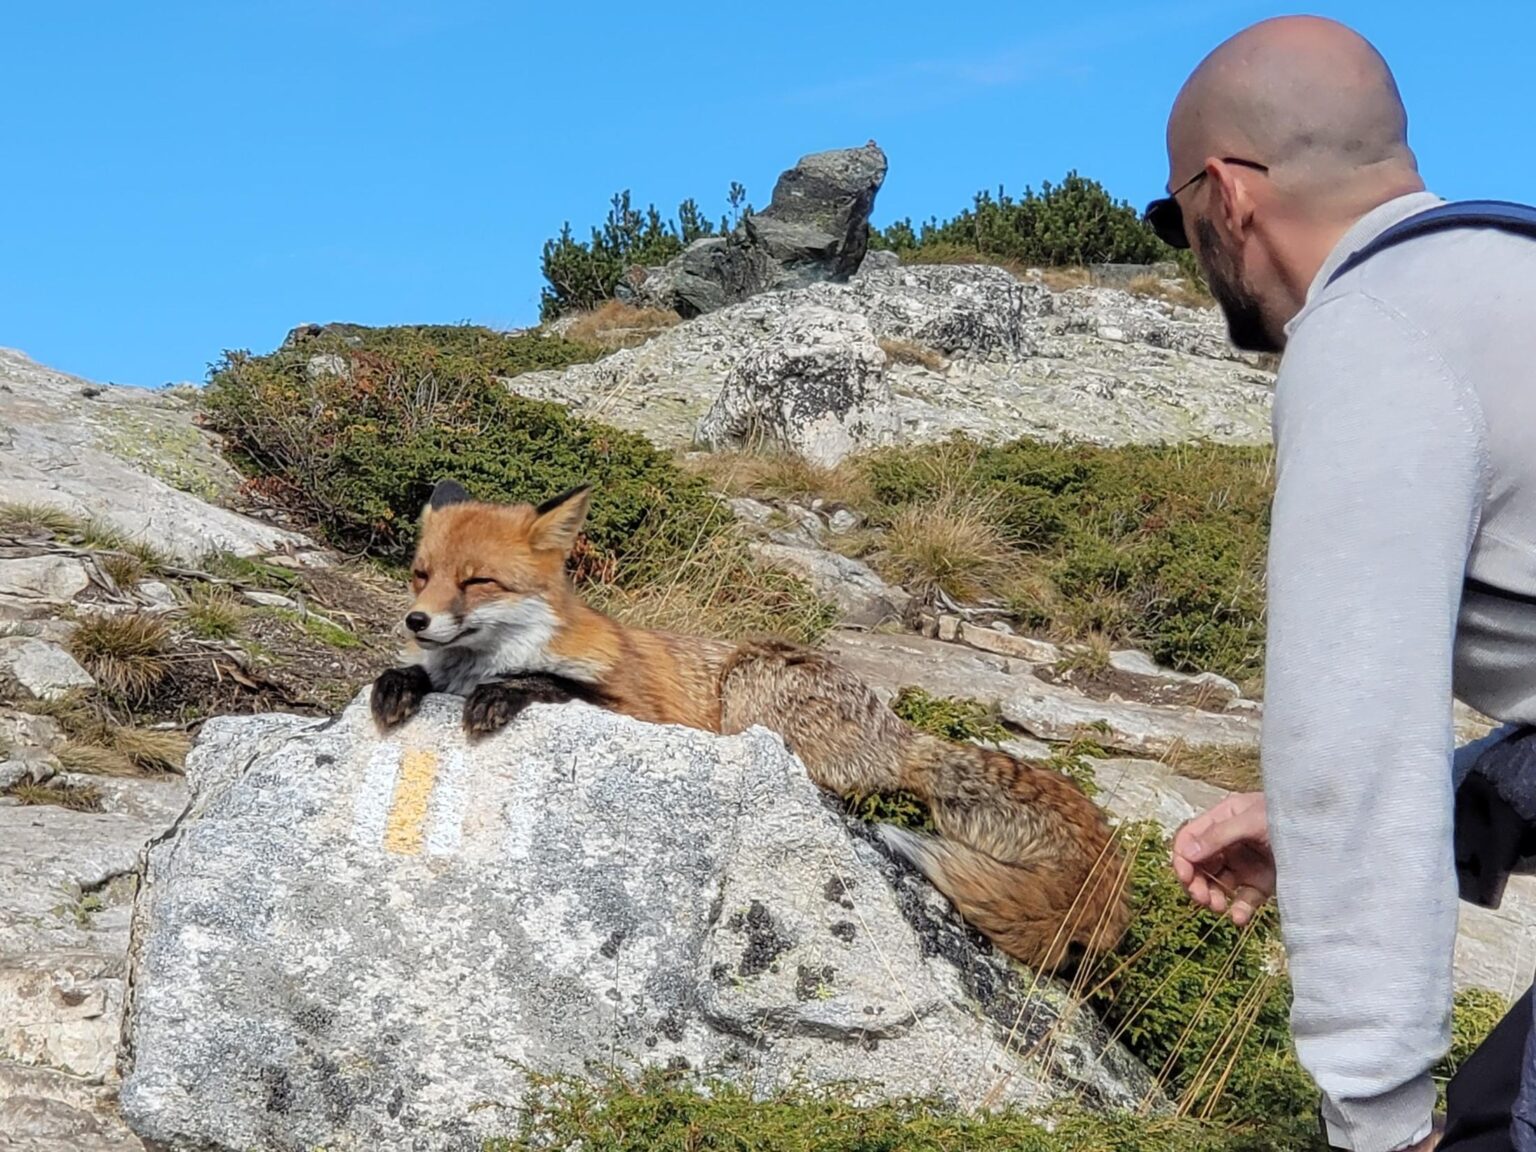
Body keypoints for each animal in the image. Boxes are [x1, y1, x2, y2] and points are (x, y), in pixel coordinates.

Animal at [368, 478, 1133, 973]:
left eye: (477, 584)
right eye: (421, 575)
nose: (416, 621)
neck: (487, 659)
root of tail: (900, 731)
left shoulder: (637, 707)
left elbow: (549, 684)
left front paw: (501, 694)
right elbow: (413, 677)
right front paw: (398, 682)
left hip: (752, 680)